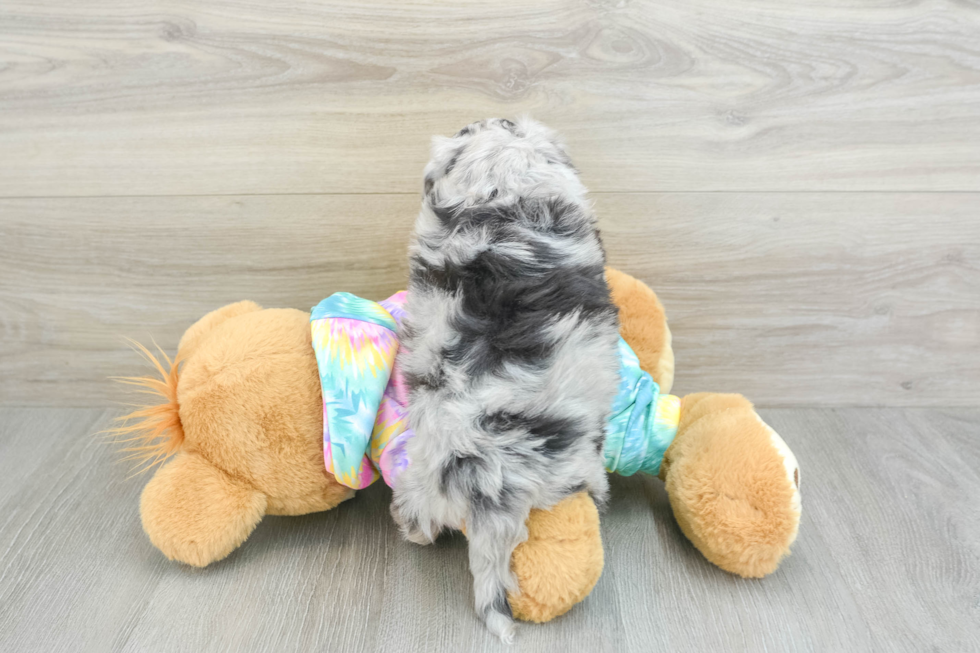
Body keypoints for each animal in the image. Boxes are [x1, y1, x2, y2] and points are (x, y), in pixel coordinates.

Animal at [390, 117, 620, 640]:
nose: (493, 119)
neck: (504, 203)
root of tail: (487, 490)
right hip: (572, 465)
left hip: (423, 473)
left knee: (420, 517)